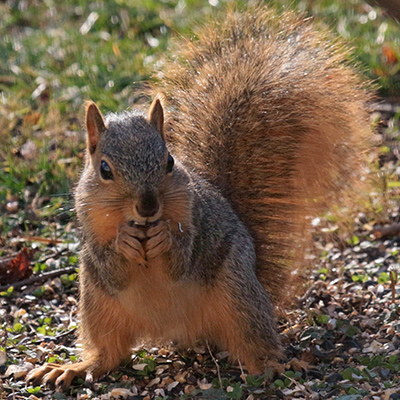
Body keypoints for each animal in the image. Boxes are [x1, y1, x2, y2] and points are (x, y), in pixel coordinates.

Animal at [26, 3, 370, 390]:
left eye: (169, 162)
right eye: (104, 169)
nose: (148, 207)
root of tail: (176, 330)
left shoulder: (194, 216)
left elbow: (183, 258)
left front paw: (165, 237)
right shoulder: (89, 227)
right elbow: (110, 266)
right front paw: (123, 241)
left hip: (238, 293)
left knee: (254, 344)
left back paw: (272, 365)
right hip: (97, 305)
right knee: (108, 354)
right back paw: (74, 368)